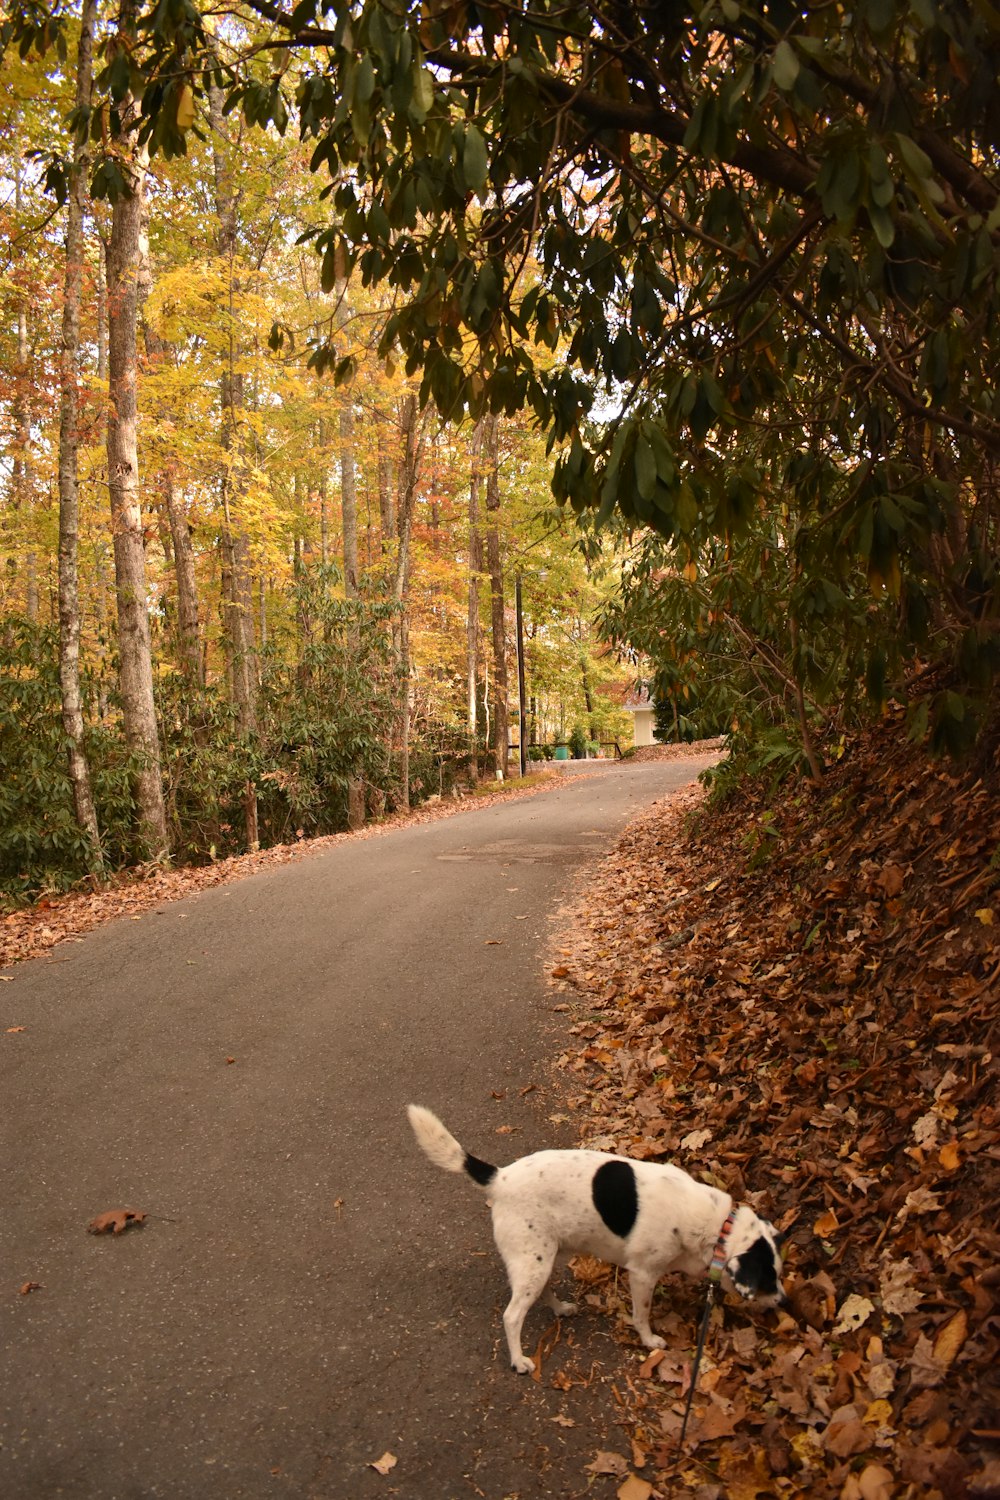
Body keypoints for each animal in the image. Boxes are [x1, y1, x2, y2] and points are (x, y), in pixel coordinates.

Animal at [407, 1104, 779, 1374]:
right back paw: (519, 1361)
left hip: (548, 1257)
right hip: (533, 1263)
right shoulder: (643, 1274)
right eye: (768, 1278)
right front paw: (649, 1340)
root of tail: (501, 1178)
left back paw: (561, 1309)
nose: (783, 1303)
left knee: (543, 1291)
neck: (717, 1226)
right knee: (512, 1316)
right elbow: (642, 1315)